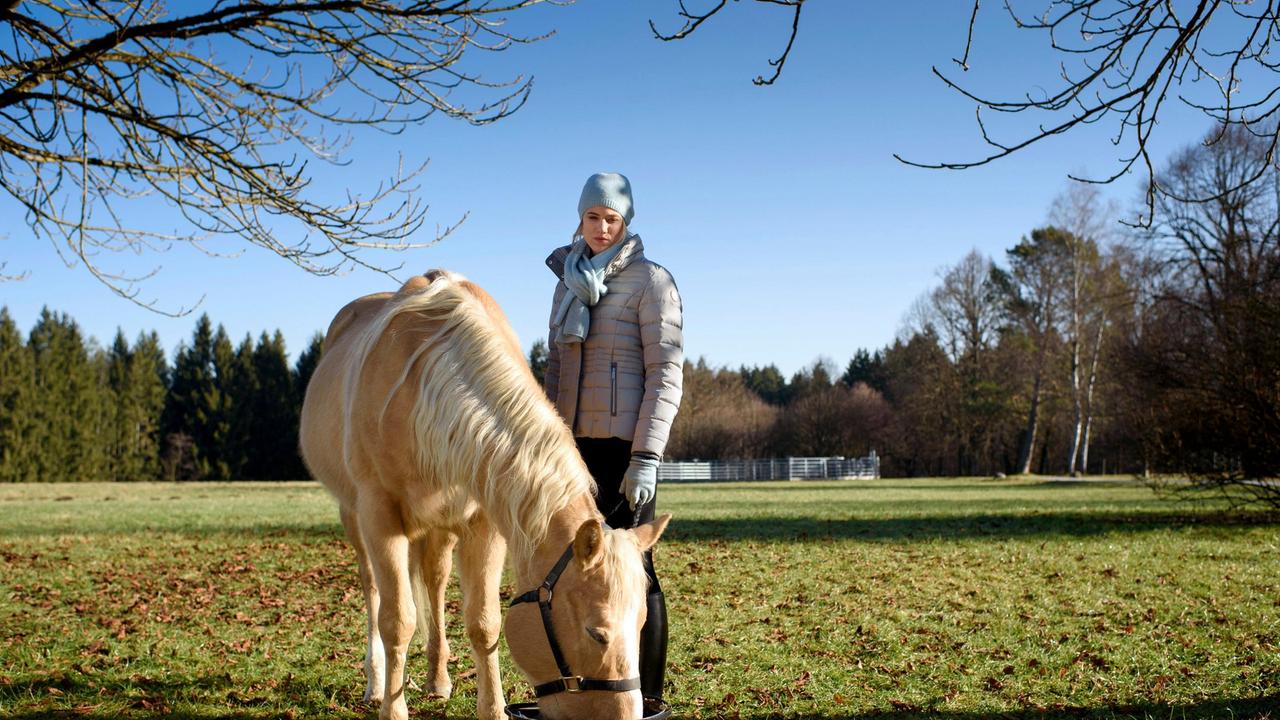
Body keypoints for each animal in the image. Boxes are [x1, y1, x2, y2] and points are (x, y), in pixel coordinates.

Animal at [299, 270, 670, 717]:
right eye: (596, 633)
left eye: (642, 625)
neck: (425, 385)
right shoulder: (379, 517)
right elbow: (397, 621)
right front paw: (392, 707)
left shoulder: (485, 523)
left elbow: (483, 623)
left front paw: (491, 707)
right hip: (354, 518)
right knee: (372, 590)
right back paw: (376, 683)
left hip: (438, 528)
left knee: (435, 583)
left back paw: (438, 679)